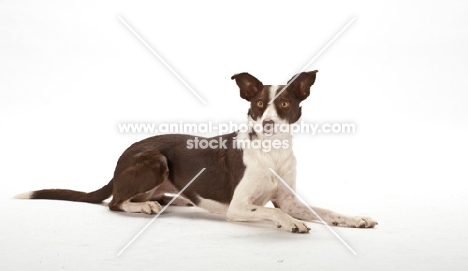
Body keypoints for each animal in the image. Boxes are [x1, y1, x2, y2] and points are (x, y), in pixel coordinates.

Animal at [14, 71, 378, 233]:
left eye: (285, 103)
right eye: (260, 104)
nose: (268, 123)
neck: (271, 151)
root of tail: (120, 160)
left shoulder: (289, 199)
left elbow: (325, 211)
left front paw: (355, 218)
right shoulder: (239, 207)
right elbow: (274, 212)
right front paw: (291, 224)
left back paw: (167, 201)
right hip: (155, 161)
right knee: (115, 203)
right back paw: (143, 204)